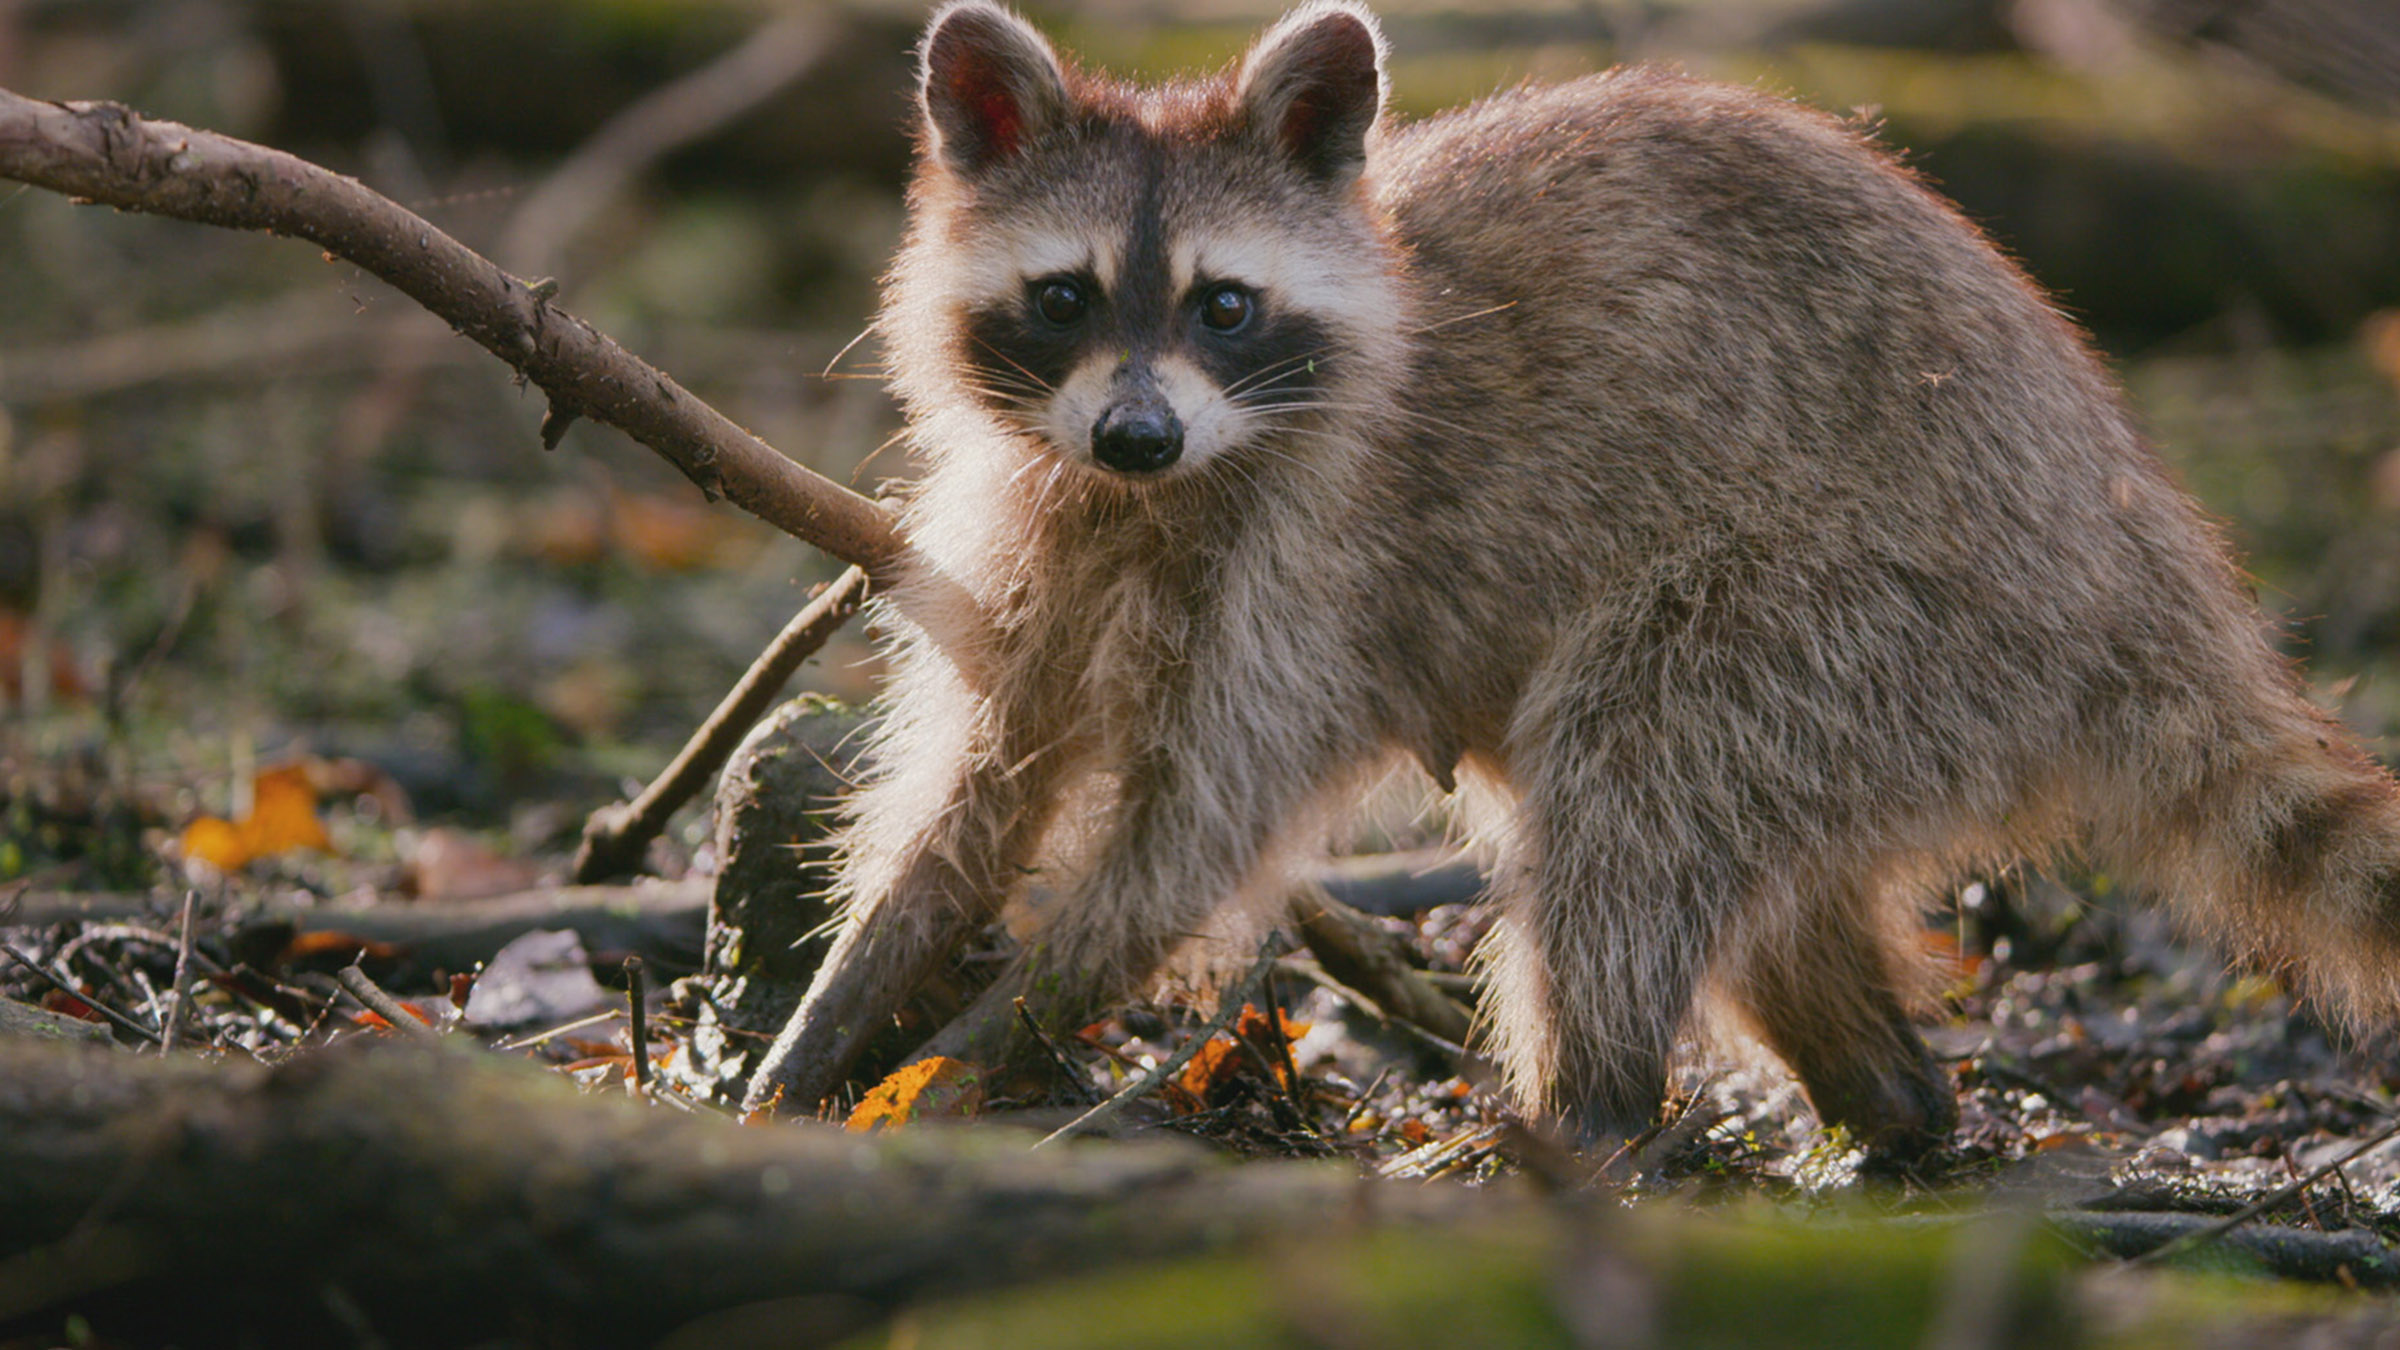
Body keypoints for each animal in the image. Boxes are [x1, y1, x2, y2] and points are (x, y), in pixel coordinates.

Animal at [744, 0, 2400, 1153]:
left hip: (1868, 599)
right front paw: (848, 998)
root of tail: (2152, 591)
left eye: (1224, 305)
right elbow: (981, 780)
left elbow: (1185, 840)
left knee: (1629, 778)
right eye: (1064, 295)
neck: (1148, 496)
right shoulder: (1031, 527)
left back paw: (1580, 1119)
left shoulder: (1317, 559)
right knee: (1736, 867)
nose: (1139, 431)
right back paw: (1885, 1098)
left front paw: (981, 1033)